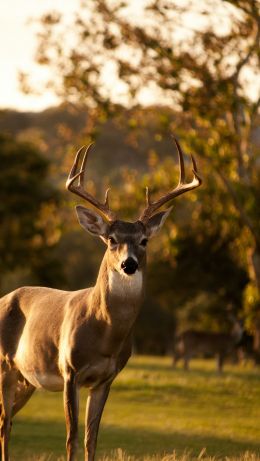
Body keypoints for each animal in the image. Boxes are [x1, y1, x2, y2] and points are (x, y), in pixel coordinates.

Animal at [0, 137, 201, 460]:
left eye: (144, 240)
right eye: (111, 239)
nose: (129, 264)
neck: (104, 334)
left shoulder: (106, 379)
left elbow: (91, 438)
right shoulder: (69, 371)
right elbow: (71, 437)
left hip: (25, 378)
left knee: (6, 420)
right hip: (5, 365)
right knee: (5, 422)